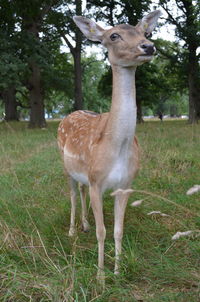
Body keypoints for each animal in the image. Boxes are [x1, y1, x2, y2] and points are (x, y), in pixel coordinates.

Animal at [57, 10, 162, 286]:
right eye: (113, 35)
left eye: (146, 32)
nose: (148, 46)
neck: (117, 149)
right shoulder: (97, 182)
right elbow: (102, 231)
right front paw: (100, 277)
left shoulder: (126, 184)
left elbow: (117, 229)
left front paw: (117, 270)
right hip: (64, 164)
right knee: (73, 193)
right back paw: (72, 230)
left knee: (80, 191)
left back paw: (83, 224)